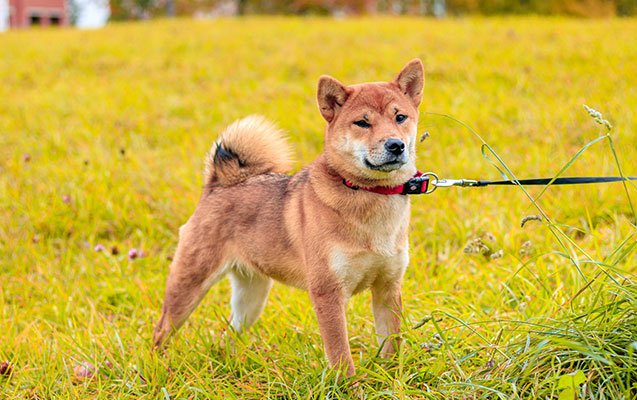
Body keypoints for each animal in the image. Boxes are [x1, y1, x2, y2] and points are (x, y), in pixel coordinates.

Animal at [152, 58, 424, 376]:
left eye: (400, 117)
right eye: (362, 123)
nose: (395, 144)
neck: (370, 195)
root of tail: (218, 185)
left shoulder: (388, 288)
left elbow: (391, 344)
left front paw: (392, 377)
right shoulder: (327, 293)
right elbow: (341, 355)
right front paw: (349, 384)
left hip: (252, 297)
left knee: (229, 334)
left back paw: (232, 363)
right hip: (188, 286)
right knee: (161, 330)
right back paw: (157, 367)